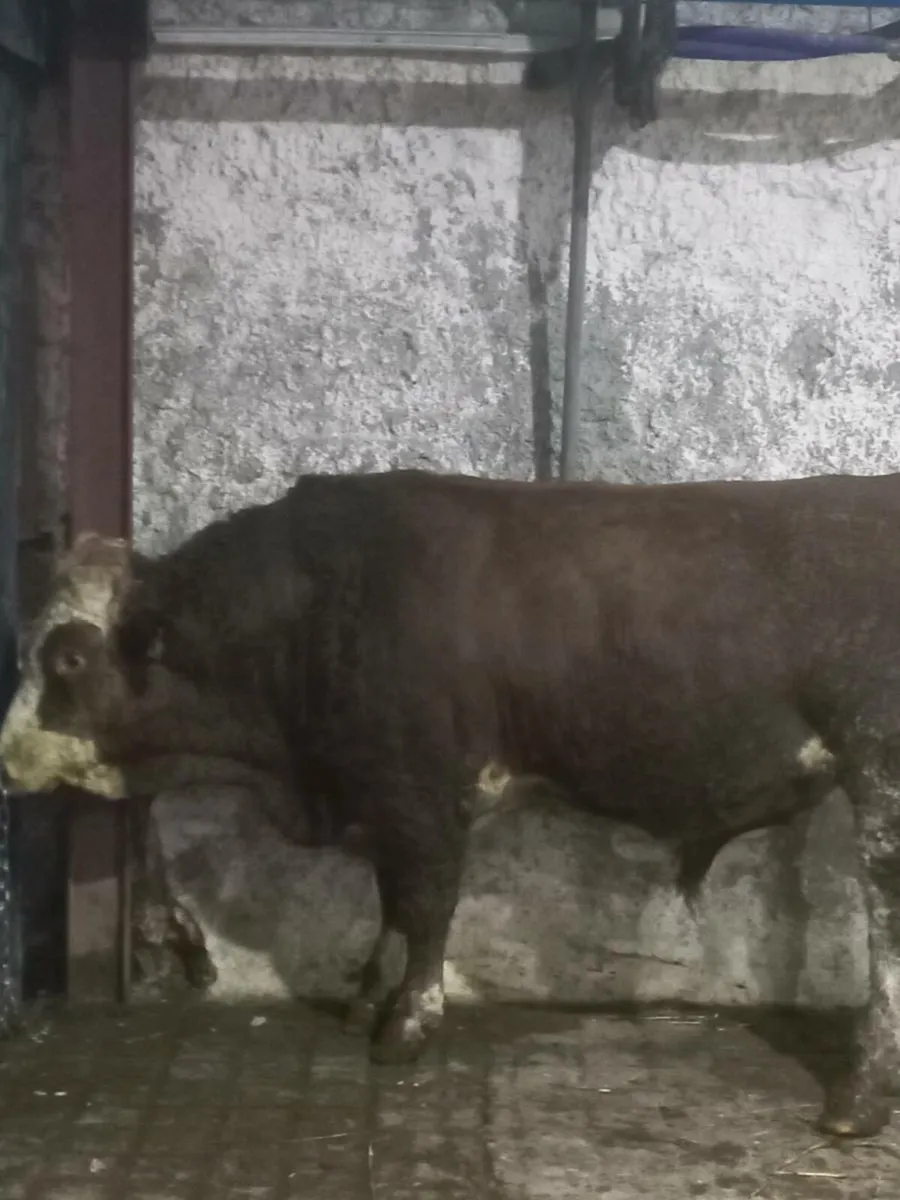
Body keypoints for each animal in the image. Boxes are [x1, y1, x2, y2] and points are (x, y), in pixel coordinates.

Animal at [3, 467, 900, 1138]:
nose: (8, 752)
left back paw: (857, 1100)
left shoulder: (426, 793)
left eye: (69, 658)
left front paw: (406, 1026)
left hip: (880, 777)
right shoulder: (385, 797)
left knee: (886, 936)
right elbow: (394, 903)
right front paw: (368, 998)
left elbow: (429, 906)